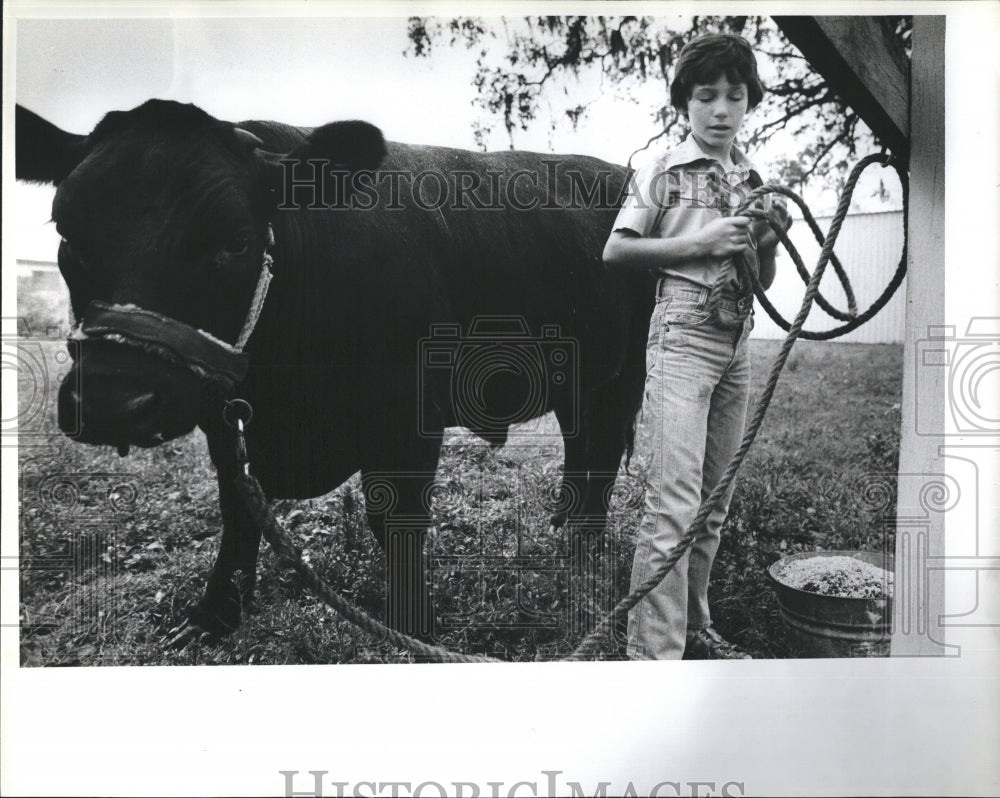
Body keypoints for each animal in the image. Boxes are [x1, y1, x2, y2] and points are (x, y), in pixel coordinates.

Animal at [17, 100, 656, 644]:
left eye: (235, 241)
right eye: (66, 232)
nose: (113, 401)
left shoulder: (408, 414)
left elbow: (395, 516)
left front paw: (411, 627)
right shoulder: (225, 415)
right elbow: (238, 509)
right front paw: (215, 615)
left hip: (625, 372)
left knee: (600, 453)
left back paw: (583, 551)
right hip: (577, 375)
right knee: (579, 444)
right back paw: (565, 526)